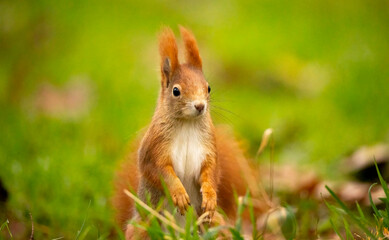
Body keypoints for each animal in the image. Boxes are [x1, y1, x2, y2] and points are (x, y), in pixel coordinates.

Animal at [112, 26, 258, 238]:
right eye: (176, 91)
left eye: (208, 87)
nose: (200, 106)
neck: (187, 125)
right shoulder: (154, 150)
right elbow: (160, 171)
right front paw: (179, 194)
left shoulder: (208, 150)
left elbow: (211, 172)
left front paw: (210, 196)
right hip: (143, 227)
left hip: (215, 224)